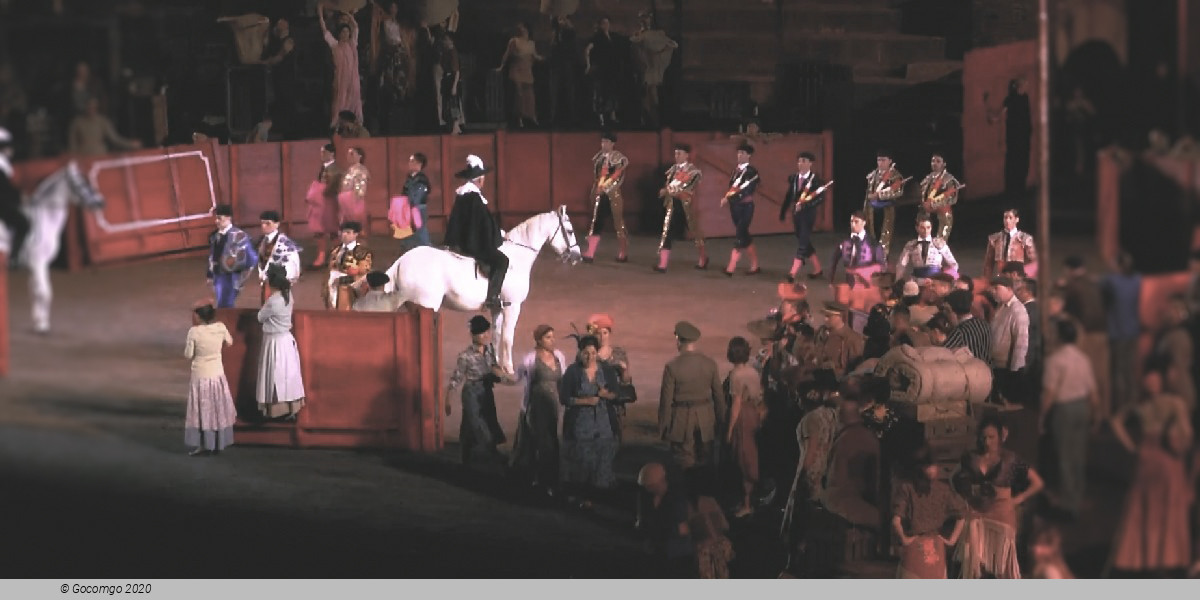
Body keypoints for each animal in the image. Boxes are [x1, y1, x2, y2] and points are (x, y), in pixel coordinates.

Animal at [0, 162, 105, 336]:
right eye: (79, 184)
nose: (101, 203)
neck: (44, 219)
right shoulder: (38, 263)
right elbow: (45, 293)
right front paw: (43, 326)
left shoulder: (35, 266)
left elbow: (35, 292)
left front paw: (38, 322)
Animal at [386, 208, 583, 372]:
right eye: (570, 231)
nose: (578, 256)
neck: (517, 258)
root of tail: (403, 260)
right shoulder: (513, 306)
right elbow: (507, 338)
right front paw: (509, 369)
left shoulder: (497, 307)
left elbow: (496, 335)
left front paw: (496, 364)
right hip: (426, 306)